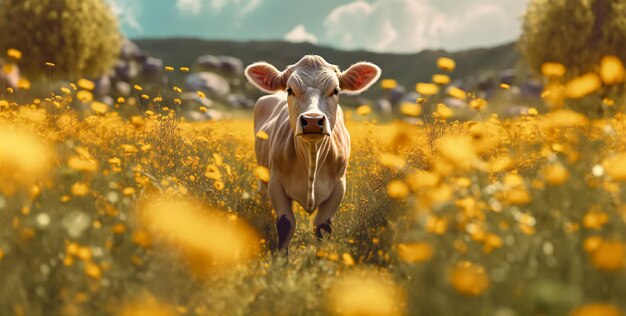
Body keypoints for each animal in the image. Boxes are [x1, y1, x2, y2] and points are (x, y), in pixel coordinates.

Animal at [244, 55, 380, 254]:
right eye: (290, 90)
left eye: (336, 90)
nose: (313, 120)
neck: (312, 156)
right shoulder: (276, 183)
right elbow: (285, 224)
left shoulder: (339, 186)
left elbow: (323, 228)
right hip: (263, 178)